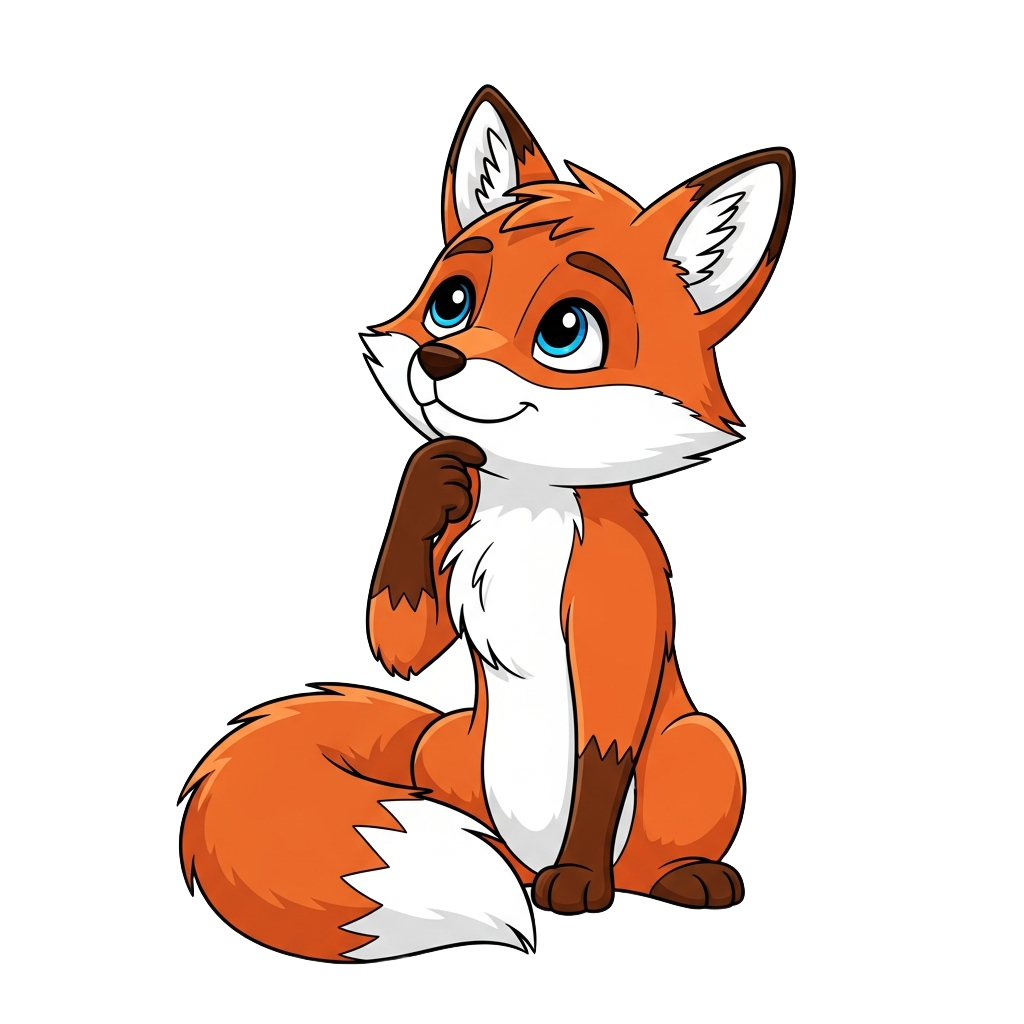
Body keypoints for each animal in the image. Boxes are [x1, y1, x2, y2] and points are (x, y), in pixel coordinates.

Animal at [179, 85, 795, 963]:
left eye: (566, 331)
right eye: (452, 303)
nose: (438, 361)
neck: (526, 511)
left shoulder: (616, 635)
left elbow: (599, 770)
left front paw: (579, 886)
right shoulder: (437, 583)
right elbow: (401, 636)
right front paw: (431, 472)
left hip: (698, 742)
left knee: (646, 860)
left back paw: (675, 878)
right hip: (449, 754)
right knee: (480, 836)